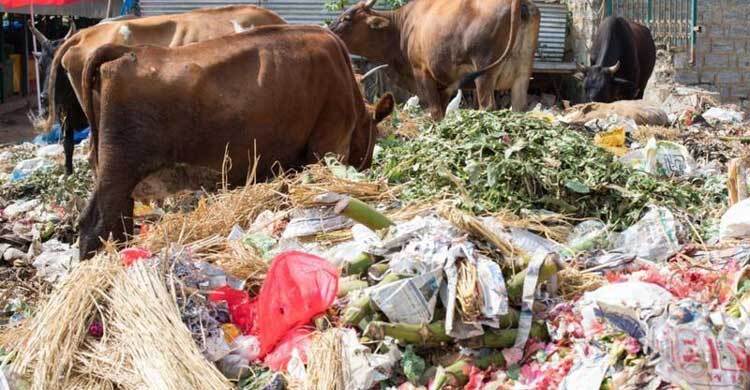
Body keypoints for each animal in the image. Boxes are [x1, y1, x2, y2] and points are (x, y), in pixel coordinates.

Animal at [77, 25, 396, 260]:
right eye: (374, 133)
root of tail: (129, 52)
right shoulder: (326, 146)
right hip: (119, 174)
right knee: (97, 226)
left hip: (113, 177)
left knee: (109, 225)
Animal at [330, 0, 540, 120]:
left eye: (346, 18)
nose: (329, 30)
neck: (403, 26)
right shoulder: (445, 84)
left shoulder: (423, 73)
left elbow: (435, 113)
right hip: (522, 75)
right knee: (519, 107)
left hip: (484, 73)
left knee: (487, 106)